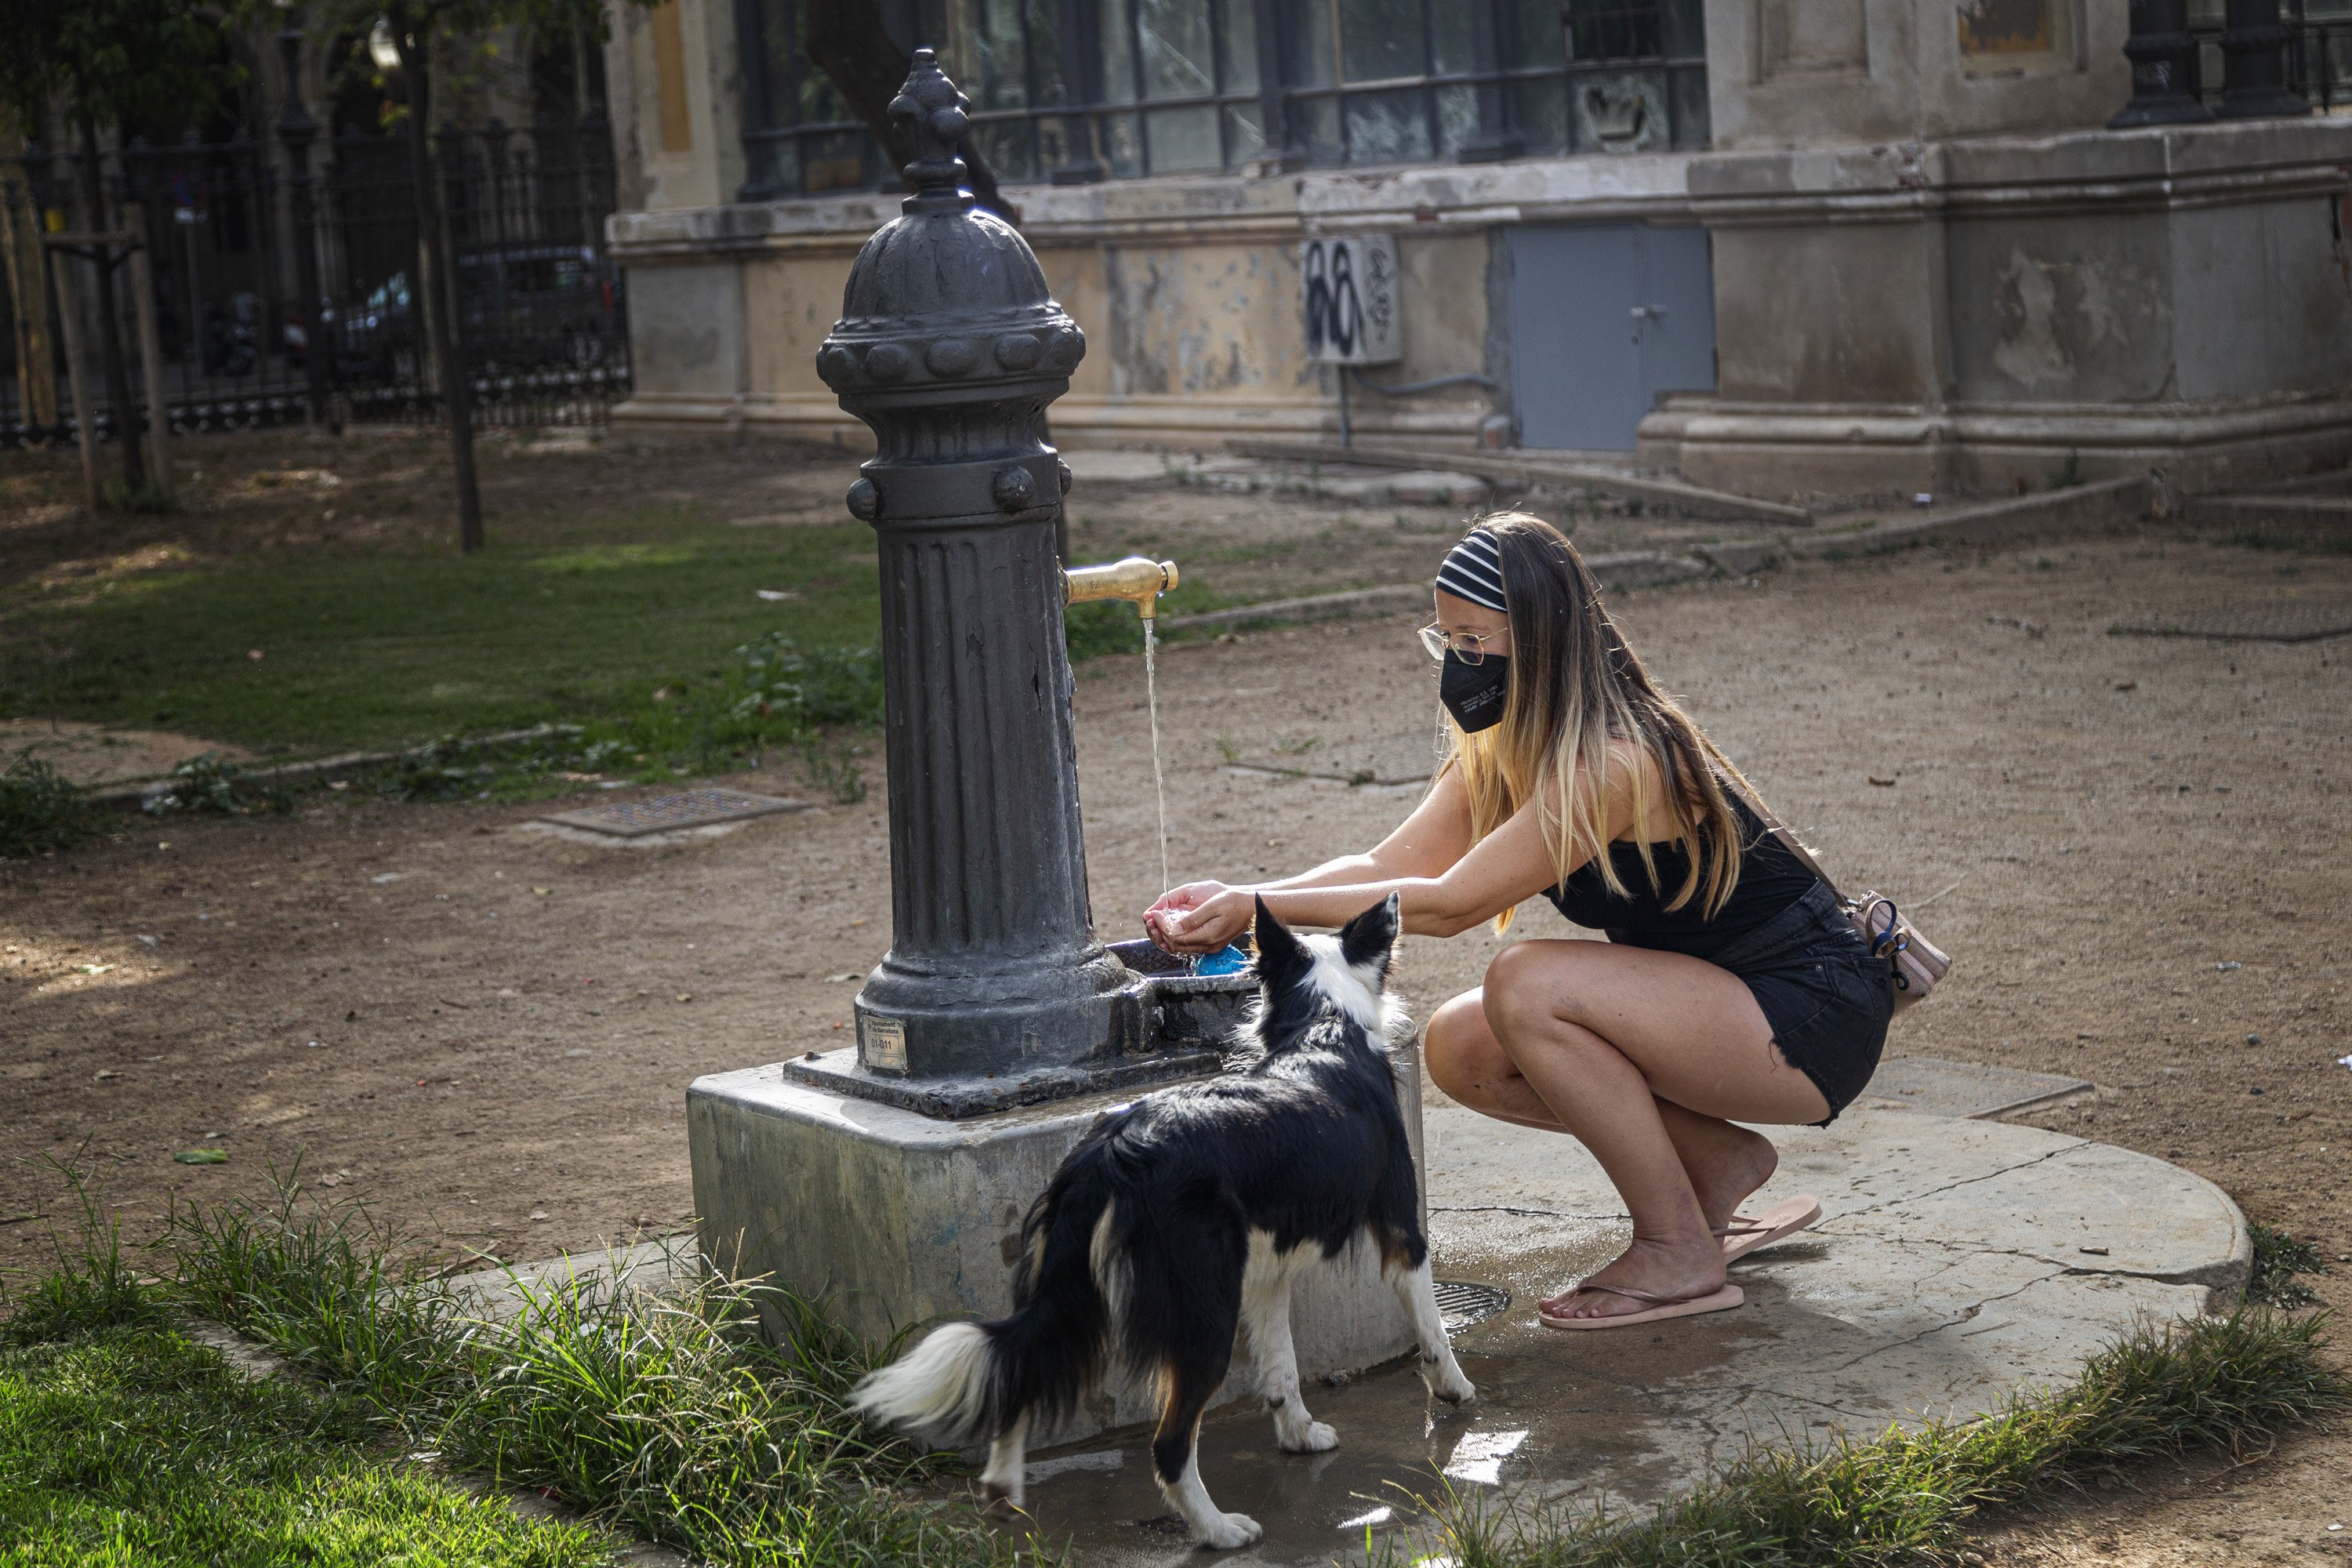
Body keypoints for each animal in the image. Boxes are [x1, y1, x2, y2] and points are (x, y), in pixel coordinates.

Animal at [851, 888, 1468, 1552]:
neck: (1324, 1025)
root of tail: (1112, 1150)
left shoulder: (1265, 1276)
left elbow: (1282, 1369)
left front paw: (1300, 1435)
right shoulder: (1403, 1232)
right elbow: (1431, 1327)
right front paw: (1454, 1387)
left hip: (1075, 1290)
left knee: (1022, 1370)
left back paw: (1002, 1492)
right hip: (1203, 1316)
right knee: (1170, 1446)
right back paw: (1220, 1530)